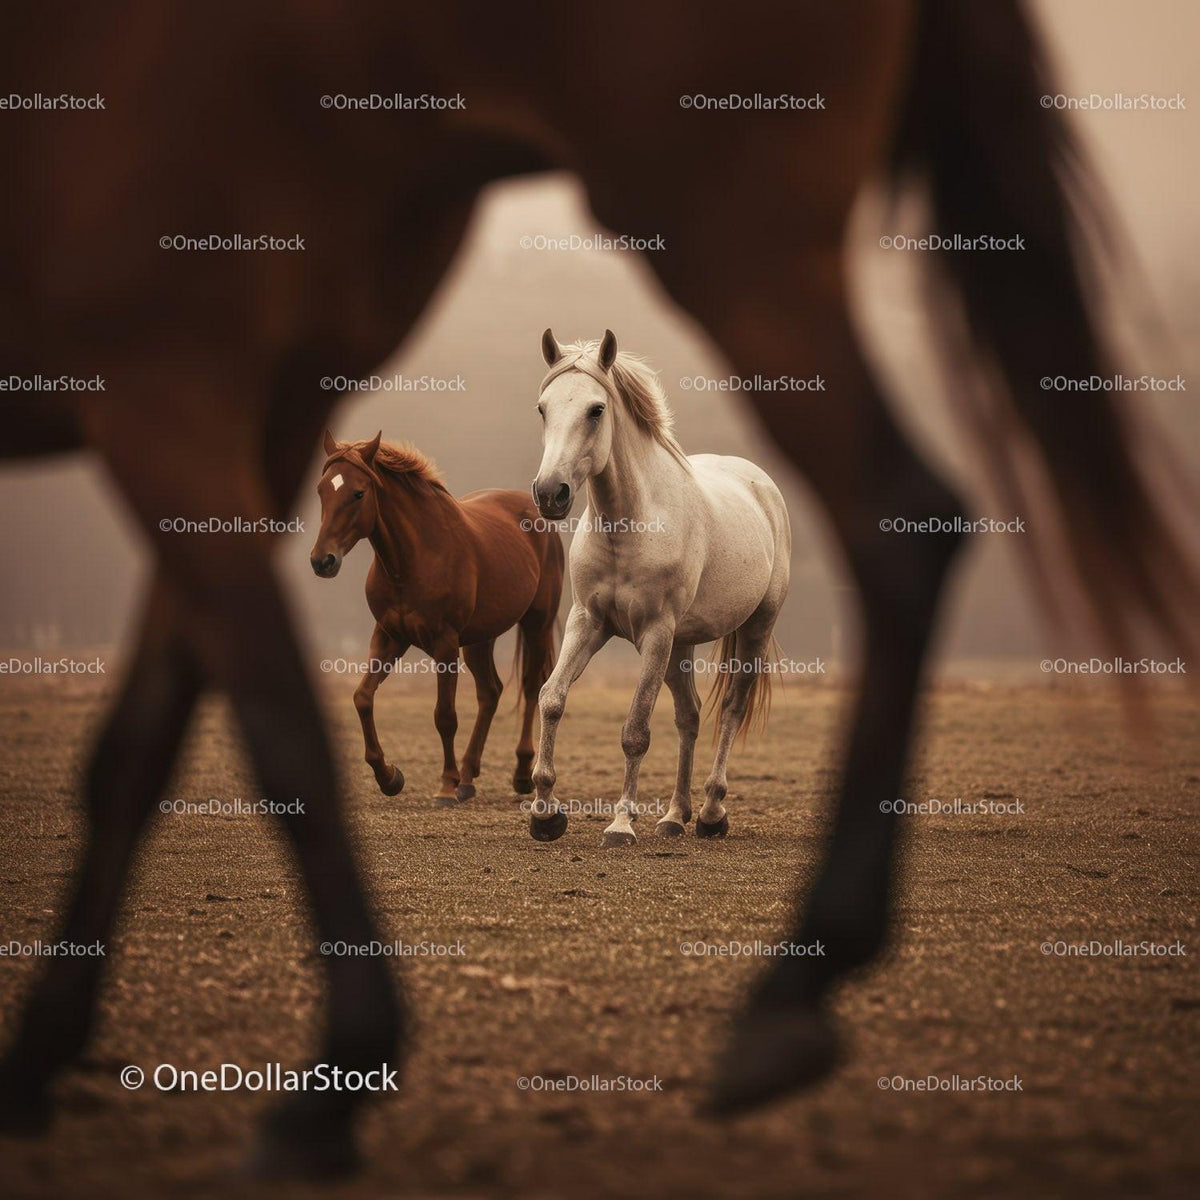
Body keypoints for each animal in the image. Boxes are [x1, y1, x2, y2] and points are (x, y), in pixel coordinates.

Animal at [309, 431, 562, 803]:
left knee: (531, 688)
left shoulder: (445, 646)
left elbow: (444, 716)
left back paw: (519, 774)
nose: (322, 561)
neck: (414, 558)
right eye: (322, 490)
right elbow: (362, 698)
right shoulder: (388, 637)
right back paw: (469, 777)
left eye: (358, 493)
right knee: (490, 692)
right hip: (480, 639)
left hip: (536, 624)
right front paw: (389, 776)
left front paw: (445, 784)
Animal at [528, 331, 791, 848]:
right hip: (680, 646)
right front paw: (545, 813)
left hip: (751, 629)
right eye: (544, 409)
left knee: (731, 710)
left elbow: (636, 730)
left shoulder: (653, 633)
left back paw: (710, 812)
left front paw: (620, 824)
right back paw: (674, 816)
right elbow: (552, 699)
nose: (550, 493)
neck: (628, 525)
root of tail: (761, 485)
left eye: (596, 410)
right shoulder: (587, 623)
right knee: (689, 716)